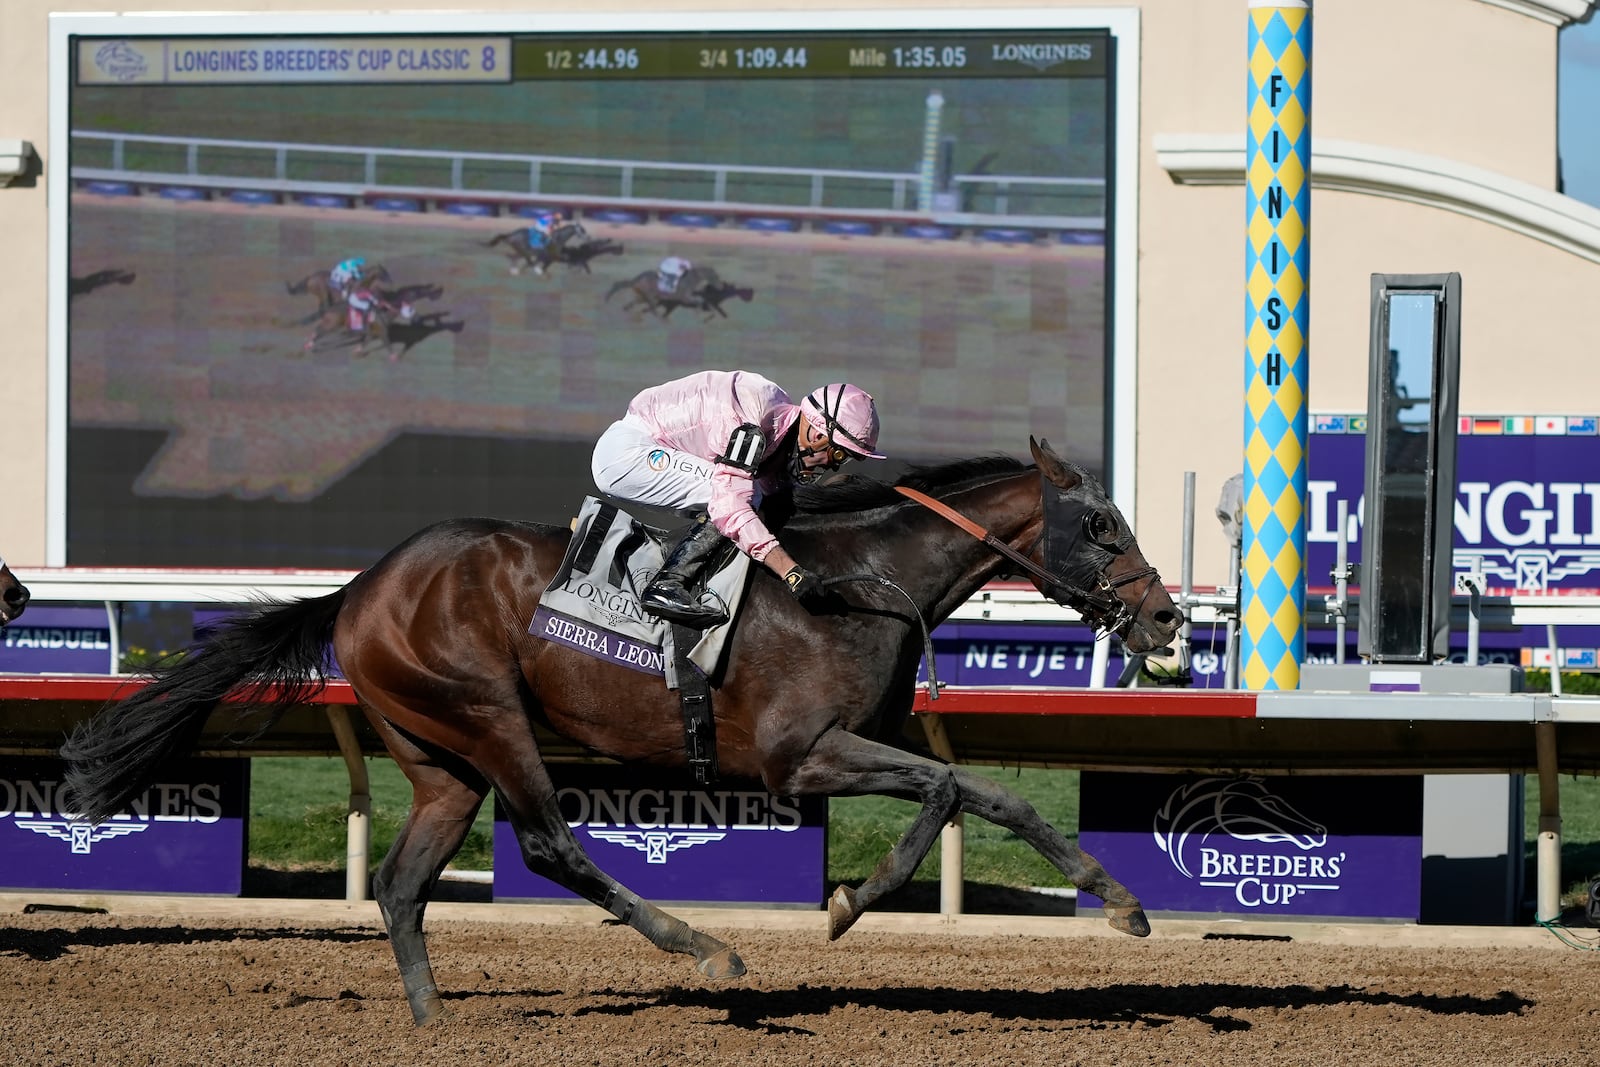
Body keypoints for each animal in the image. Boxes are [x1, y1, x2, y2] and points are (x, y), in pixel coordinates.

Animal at [62, 441, 1184, 1023]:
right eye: (1101, 527)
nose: (1167, 618)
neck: (858, 580)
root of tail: (364, 585)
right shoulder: (799, 756)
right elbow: (949, 792)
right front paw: (846, 903)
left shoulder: (880, 739)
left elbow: (995, 792)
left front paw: (1121, 901)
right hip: (487, 712)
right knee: (549, 843)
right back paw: (705, 948)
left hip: (439, 756)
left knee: (402, 879)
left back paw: (434, 1018)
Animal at [604, 265, 755, 319]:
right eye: (715, 276)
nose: (719, 286)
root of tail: (638, 278)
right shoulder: (684, 298)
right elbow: (699, 302)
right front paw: (702, 315)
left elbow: (702, 301)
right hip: (650, 295)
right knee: (652, 307)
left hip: (643, 295)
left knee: (635, 304)